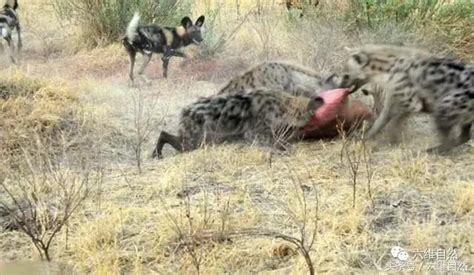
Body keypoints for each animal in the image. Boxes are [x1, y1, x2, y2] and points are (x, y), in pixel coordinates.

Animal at [152, 89, 322, 160]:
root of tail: (185, 110)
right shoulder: (255, 133)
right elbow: (273, 143)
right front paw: (285, 149)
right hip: (195, 141)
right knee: (164, 134)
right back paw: (158, 154)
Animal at [342, 44, 472, 154]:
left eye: (346, 75)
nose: (340, 85)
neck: (386, 68)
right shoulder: (394, 96)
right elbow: (383, 119)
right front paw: (368, 137)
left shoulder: (411, 102)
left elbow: (394, 121)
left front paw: (386, 141)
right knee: (465, 136)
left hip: (446, 105)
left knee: (448, 137)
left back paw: (431, 151)